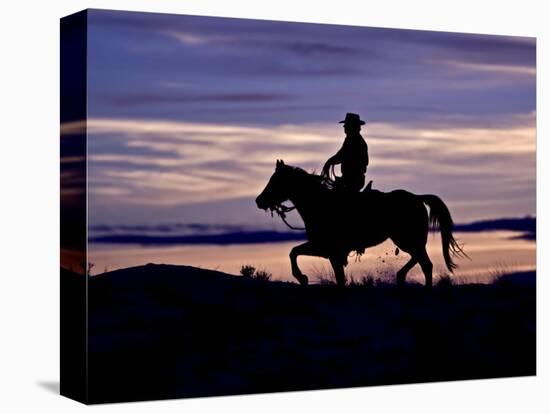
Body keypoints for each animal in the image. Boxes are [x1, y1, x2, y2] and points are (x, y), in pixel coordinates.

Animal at [256, 160, 468, 286]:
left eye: (275, 181)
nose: (259, 200)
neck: (320, 204)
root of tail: (417, 197)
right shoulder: (327, 251)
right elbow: (299, 254)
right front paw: (303, 277)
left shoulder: (326, 248)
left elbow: (294, 252)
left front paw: (301, 277)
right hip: (408, 241)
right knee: (421, 261)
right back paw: (400, 277)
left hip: (407, 240)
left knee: (425, 264)